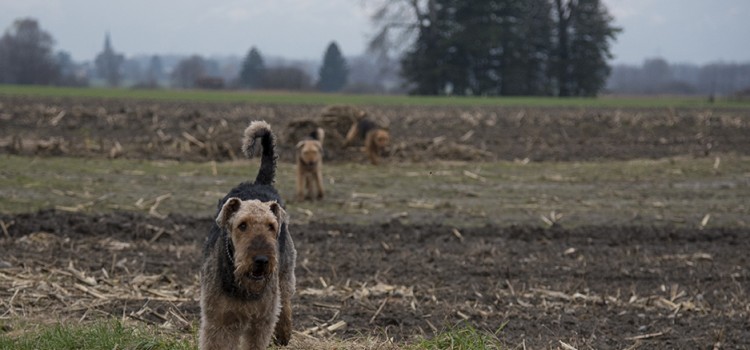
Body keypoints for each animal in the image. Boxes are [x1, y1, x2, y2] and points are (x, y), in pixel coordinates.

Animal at [201, 121, 298, 350]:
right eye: (242, 225)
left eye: (271, 226)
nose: (261, 260)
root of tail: (260, 183)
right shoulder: (218, 320)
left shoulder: (261, 322)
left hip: (285, 272)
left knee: (285, 301)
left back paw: (284, 333)